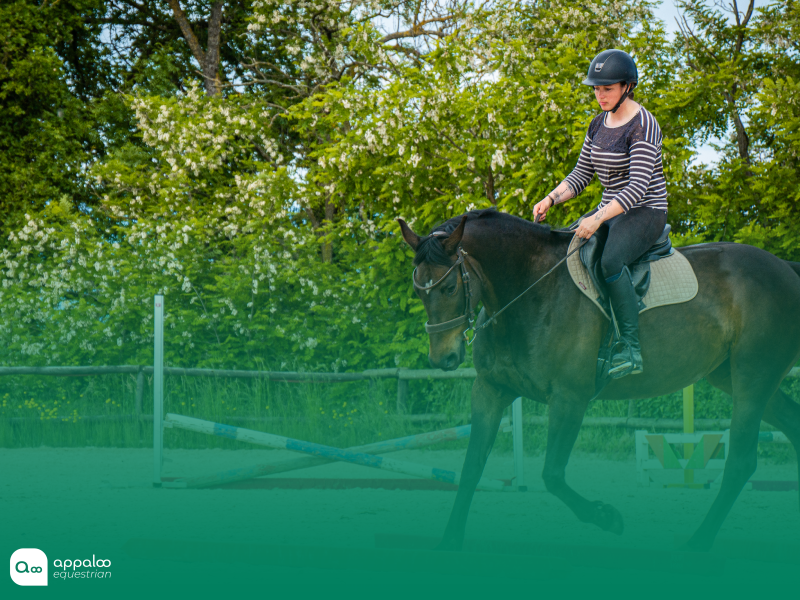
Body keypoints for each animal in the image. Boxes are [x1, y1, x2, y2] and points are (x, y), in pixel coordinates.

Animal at [398, 208, 800, 552]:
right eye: (418, 290)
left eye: (449, 288)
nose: (443, 359)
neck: (530, 291)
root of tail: (784, 267)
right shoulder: (491, 390)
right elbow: (471, 468)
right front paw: (449, 540)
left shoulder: (569, 398)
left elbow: (552, 474)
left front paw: (607, 518)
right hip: (734, 377)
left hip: (752, 378)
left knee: (741, 462)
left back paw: (697, 542)